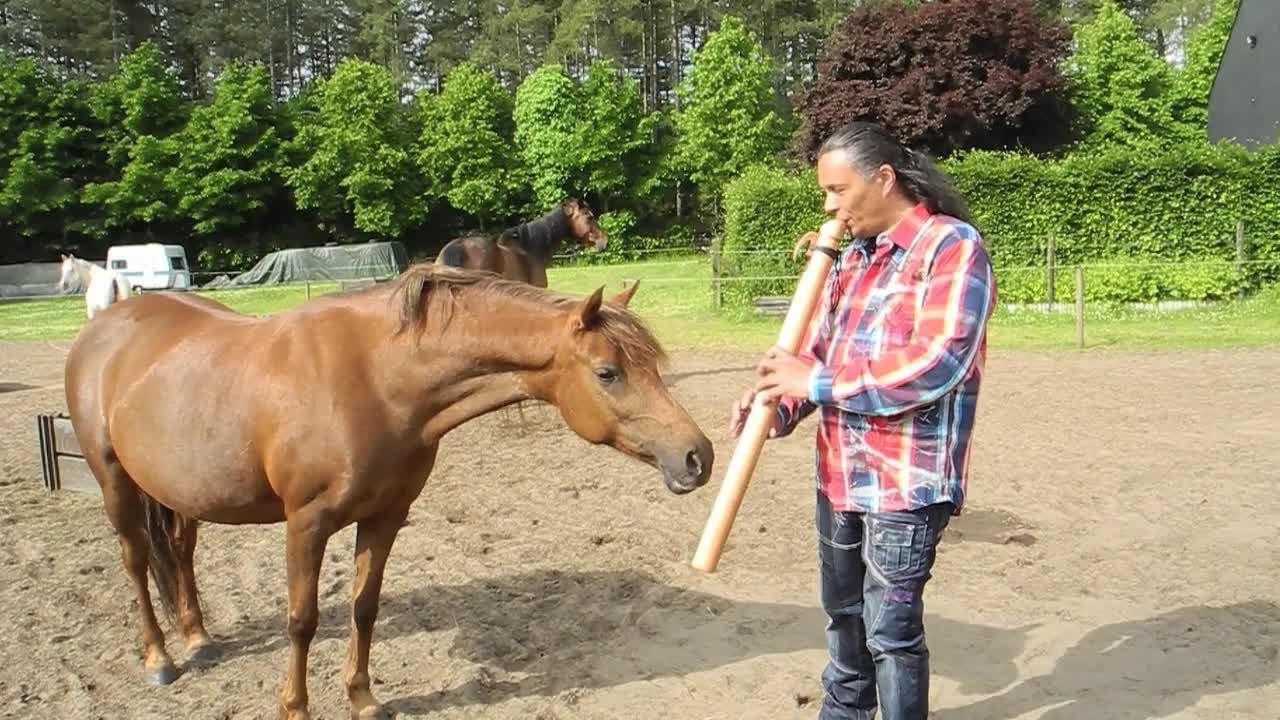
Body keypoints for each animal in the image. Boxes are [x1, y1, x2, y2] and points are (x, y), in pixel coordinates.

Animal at [62, 263, 711, 717]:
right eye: (608, 372)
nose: (697, 456)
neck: (376, 380)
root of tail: (105, 327)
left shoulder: (385, 516)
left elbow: (363, 608)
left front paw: (363, 698)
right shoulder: (306, 523)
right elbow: (302, 619)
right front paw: (295, 707)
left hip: (182, 491)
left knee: (180, 553)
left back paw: (197, 637)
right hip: (113, 479)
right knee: (135, 559)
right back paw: (160, 657)